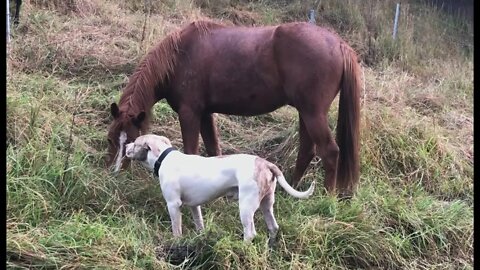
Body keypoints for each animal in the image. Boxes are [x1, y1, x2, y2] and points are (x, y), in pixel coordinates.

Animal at [106, 20, 360, 195]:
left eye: (130, 141)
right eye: (110, 139)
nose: (114, 173)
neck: (180, 57)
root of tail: (339, 44)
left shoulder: (190, 114)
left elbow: (191, 150)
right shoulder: (205, 114)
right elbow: (213, 150)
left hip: (312, 113)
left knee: (329, 151)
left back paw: (327, 197)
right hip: (305, 113)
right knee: (306, 150)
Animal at [124, 134, 316, 245]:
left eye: (135, 143)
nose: (125, 145)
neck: (163, 157)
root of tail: (266, 163)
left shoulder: (173, 205)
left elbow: (176, 228)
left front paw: (176, 243)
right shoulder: (194, 206)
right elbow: (199, 223)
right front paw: (201, 238)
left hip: (246, 208)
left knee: (250, 233)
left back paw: (242, 248)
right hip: (266, 204)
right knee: (273, 227)